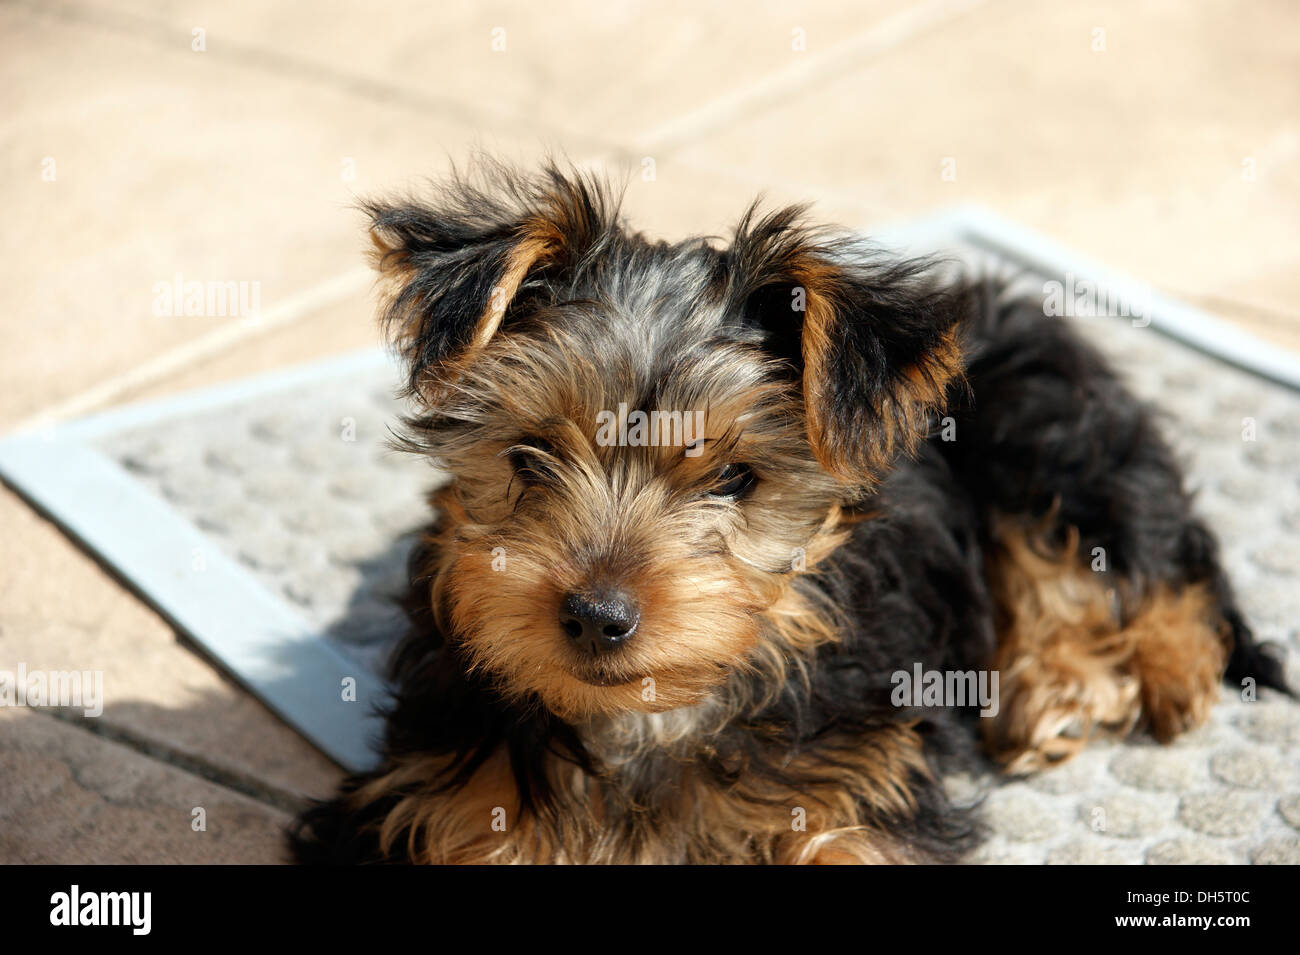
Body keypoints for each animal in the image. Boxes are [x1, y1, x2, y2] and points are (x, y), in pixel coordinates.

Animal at [287, 162, 1289, 867]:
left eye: (735, 478)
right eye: (528, 458)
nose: (597, 615)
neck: (652, 722)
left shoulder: (860, 779)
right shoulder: (428, 799)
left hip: (1038, 426)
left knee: (1133, 555)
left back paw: (1097, 684)